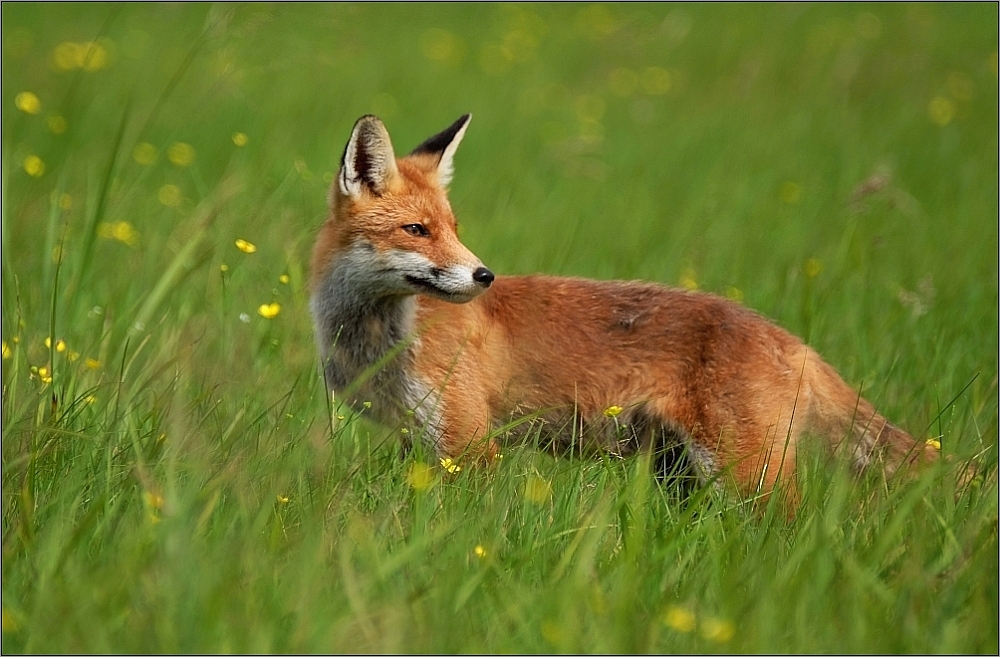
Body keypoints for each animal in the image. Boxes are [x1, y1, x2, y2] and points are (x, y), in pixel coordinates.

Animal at [310, 114, 936, 502]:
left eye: (455, 230)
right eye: (417, 230)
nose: (485, 276)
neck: (378, 339)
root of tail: (791, 339)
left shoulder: (468, 440)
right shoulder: (417, 438)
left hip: (748, 477)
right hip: (683, 475)